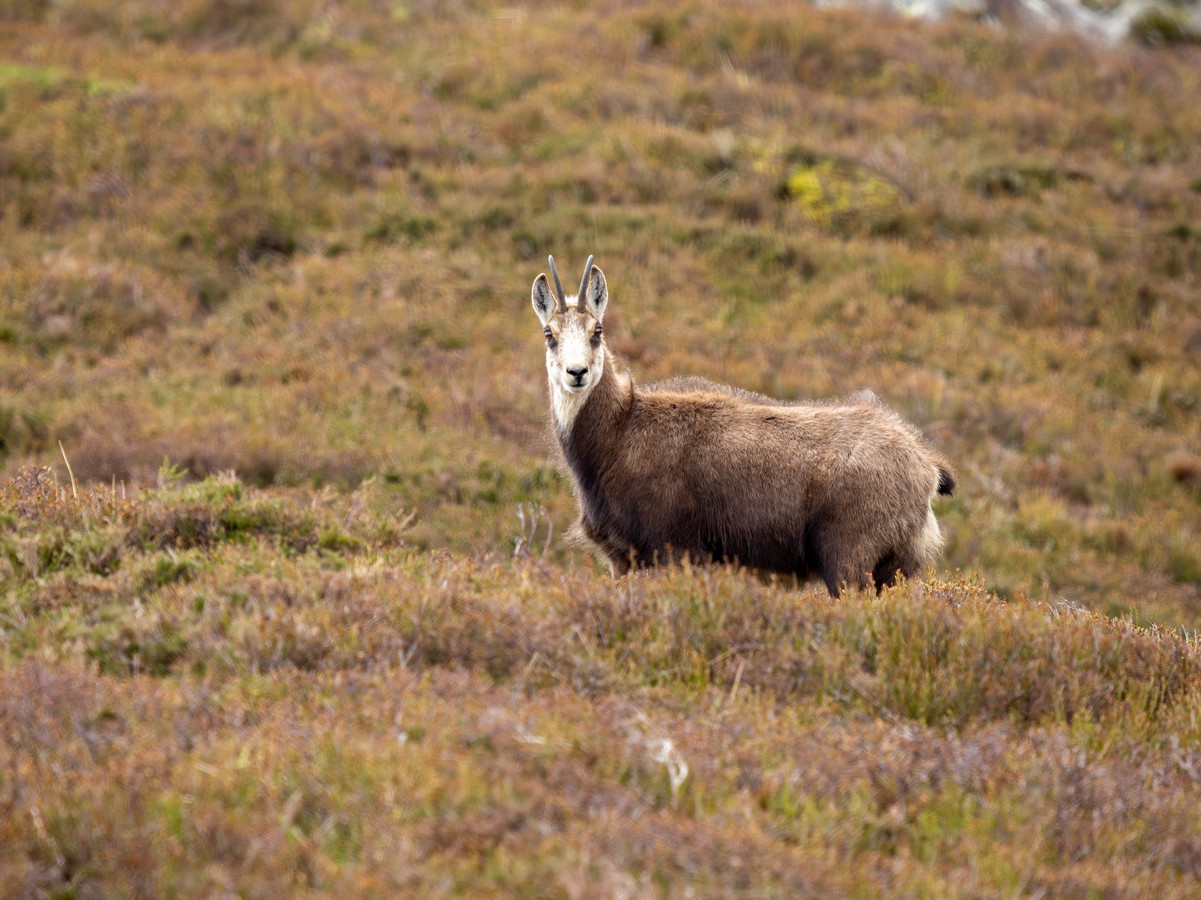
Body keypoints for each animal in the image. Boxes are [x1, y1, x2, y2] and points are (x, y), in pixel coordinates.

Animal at [531, 255, 956, 597]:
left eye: (597, 331)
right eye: (549, 333)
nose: (577, 373)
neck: (618, 433)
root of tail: (927, 467)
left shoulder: (676, 548)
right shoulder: (622, 560)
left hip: (850, 559)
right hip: (895, 568)